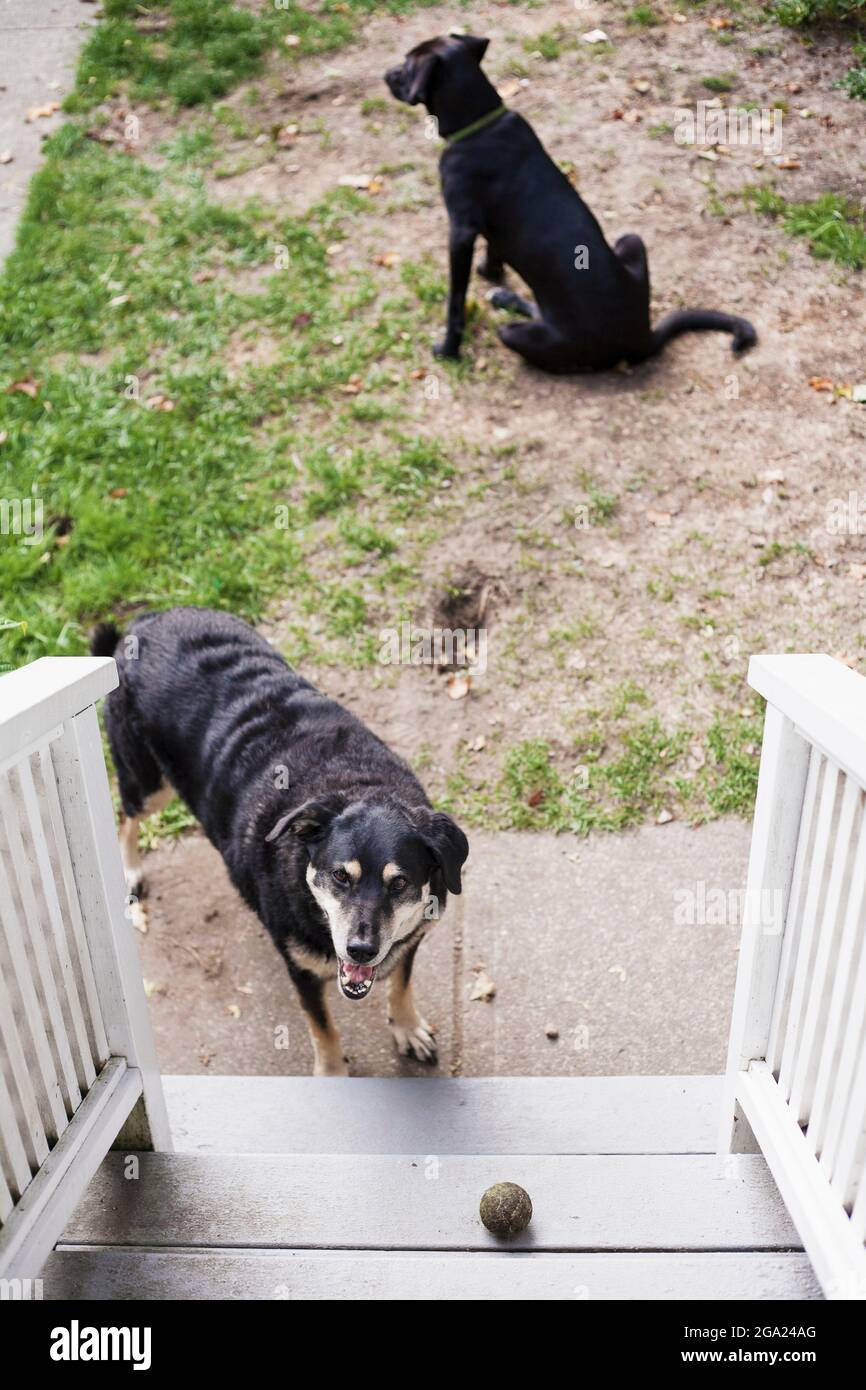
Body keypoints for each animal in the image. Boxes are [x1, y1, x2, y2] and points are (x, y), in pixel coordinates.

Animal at [90, 608, 467, 1073]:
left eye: (400, 883)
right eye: (340, 877)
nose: (361, 950)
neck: (357, 783)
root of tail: (144, 620)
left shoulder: (411, 938)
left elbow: (401, 984)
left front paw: (407, 1027)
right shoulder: (300, 969)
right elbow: (323, 1029)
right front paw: (332, 1072)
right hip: (149, 782)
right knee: (126, 814)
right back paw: (129, 872)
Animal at [386, 36, 756, 375]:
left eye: (407, 65)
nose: (385, 74)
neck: (480, 123)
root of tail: (644, 338)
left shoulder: (460, 231)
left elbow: (456, 302)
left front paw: (448, 349)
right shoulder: (486, 226)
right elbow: (494, 249)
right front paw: (491, 274)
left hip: (517, 335)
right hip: (631, 240)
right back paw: (505, 298)